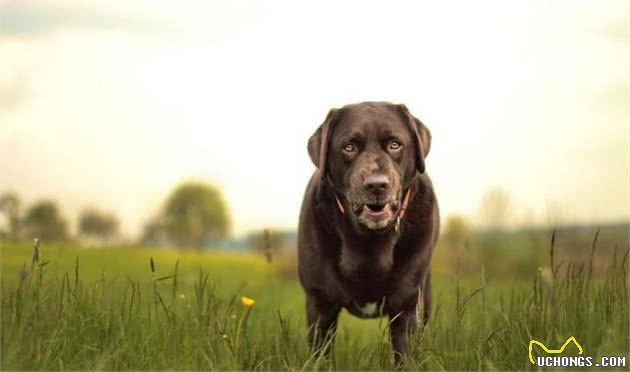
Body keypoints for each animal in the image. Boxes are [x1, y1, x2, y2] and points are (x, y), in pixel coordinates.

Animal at [298, 100, 442, 364]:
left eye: (395, 144)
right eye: (349, 147)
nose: (376, 184)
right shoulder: (320, 303)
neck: (368, 241)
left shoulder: (407, 305)